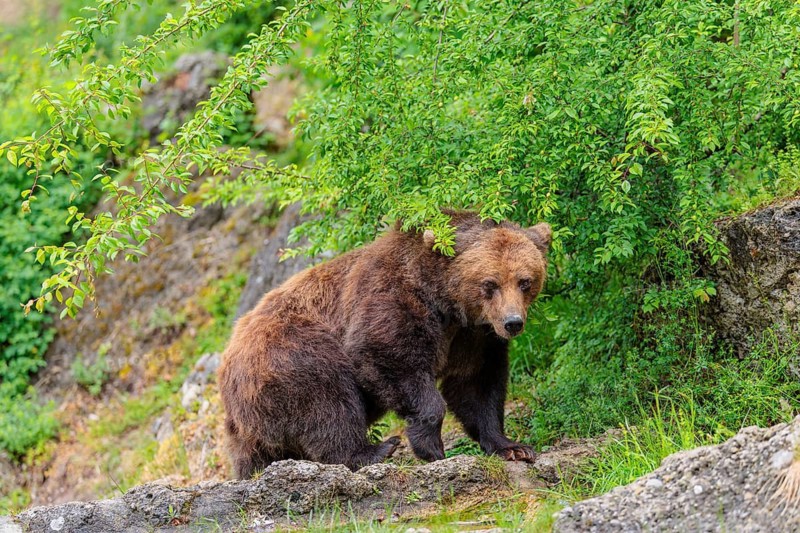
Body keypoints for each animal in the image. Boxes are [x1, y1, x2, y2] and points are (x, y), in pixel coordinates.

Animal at [218, 211, 551, 479]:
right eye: (489, 284)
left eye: (524, 281)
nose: (512, 322)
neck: (447, 306)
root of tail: (228, 358)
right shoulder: (391, 301)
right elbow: (389, 358)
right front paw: (431, 447)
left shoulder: (474, 338)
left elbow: (476, 385)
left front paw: (511, 446)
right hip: (291, 355)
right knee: (327, 401)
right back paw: (374, 450)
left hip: (249, 423)